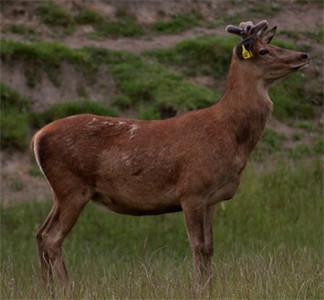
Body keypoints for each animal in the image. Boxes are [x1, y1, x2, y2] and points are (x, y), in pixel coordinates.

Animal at [30, 20, 308, 292]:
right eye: (264, 51)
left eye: (273, 44)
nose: (303, 55)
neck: (230, 136)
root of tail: (37, 137)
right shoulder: (191, 191)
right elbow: (198, 246)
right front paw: (199, 289)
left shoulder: (212, 198)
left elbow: (210, 248)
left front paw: (210, 287)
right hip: (72, 187)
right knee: (53, 238)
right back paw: (67, 289)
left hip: (60, 191)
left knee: (41, 233)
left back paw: (47, 289)